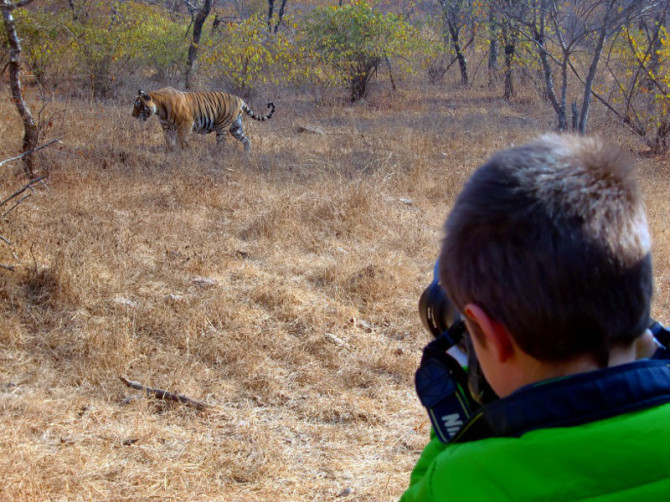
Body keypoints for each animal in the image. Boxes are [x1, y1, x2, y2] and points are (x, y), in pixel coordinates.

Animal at [131, 87, 275, 152]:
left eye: (138, 105)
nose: (133, 115)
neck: (159, 109)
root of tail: (239, 99)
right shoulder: (167, 127)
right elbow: (169, 140)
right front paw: (171, 151)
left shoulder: (186, 123)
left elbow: (181, 139)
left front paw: (183, 151)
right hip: (236, 127)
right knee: (246, 140)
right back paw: (246, 154)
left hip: (223, 126)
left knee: (221, 144)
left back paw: (217, 154)